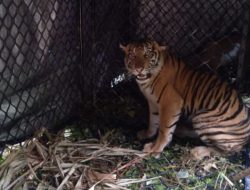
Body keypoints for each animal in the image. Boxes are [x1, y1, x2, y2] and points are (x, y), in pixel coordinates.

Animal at [119, 39, 250, 159]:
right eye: (132, 55)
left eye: (148, 55)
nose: (139, 68)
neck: (146, 79)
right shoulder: (152, 102)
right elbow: (153, 121)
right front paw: (146, 134)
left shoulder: (171, 102)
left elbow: (164, 130)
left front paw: (155, 149)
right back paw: (181, 131)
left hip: (202, 118)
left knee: (229, 151)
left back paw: (199, 151)